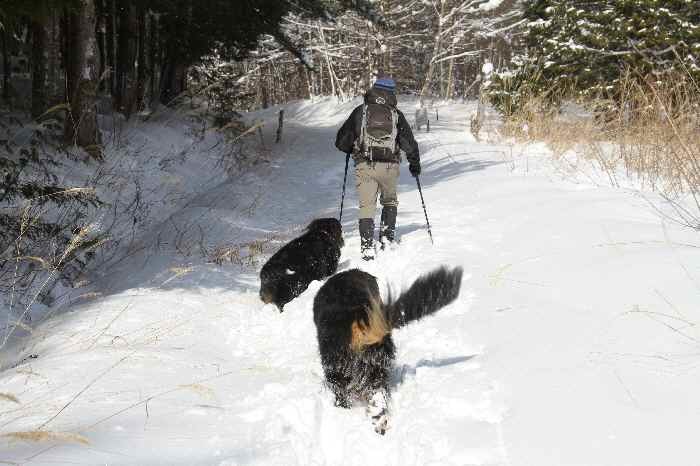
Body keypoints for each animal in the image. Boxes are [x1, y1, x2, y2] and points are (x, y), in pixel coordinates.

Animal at [314, 268, 462, 436]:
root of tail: (358, 322)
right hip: (376, 365)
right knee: (378, 396)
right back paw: (380, 422)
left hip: (338, 370)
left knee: (342, 394)